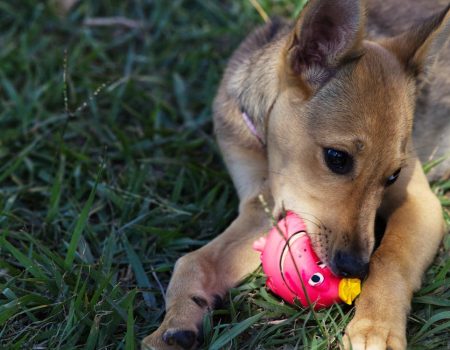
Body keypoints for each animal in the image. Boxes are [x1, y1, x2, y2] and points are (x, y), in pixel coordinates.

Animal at [142, 0, 448, 350]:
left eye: (394, 176)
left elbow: (390, 257)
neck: (271, 155)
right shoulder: (260, 207)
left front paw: (376, 327)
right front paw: (173, 324)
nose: (355, 268)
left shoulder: (421, 204)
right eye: (336, 158)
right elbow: (195, 261)